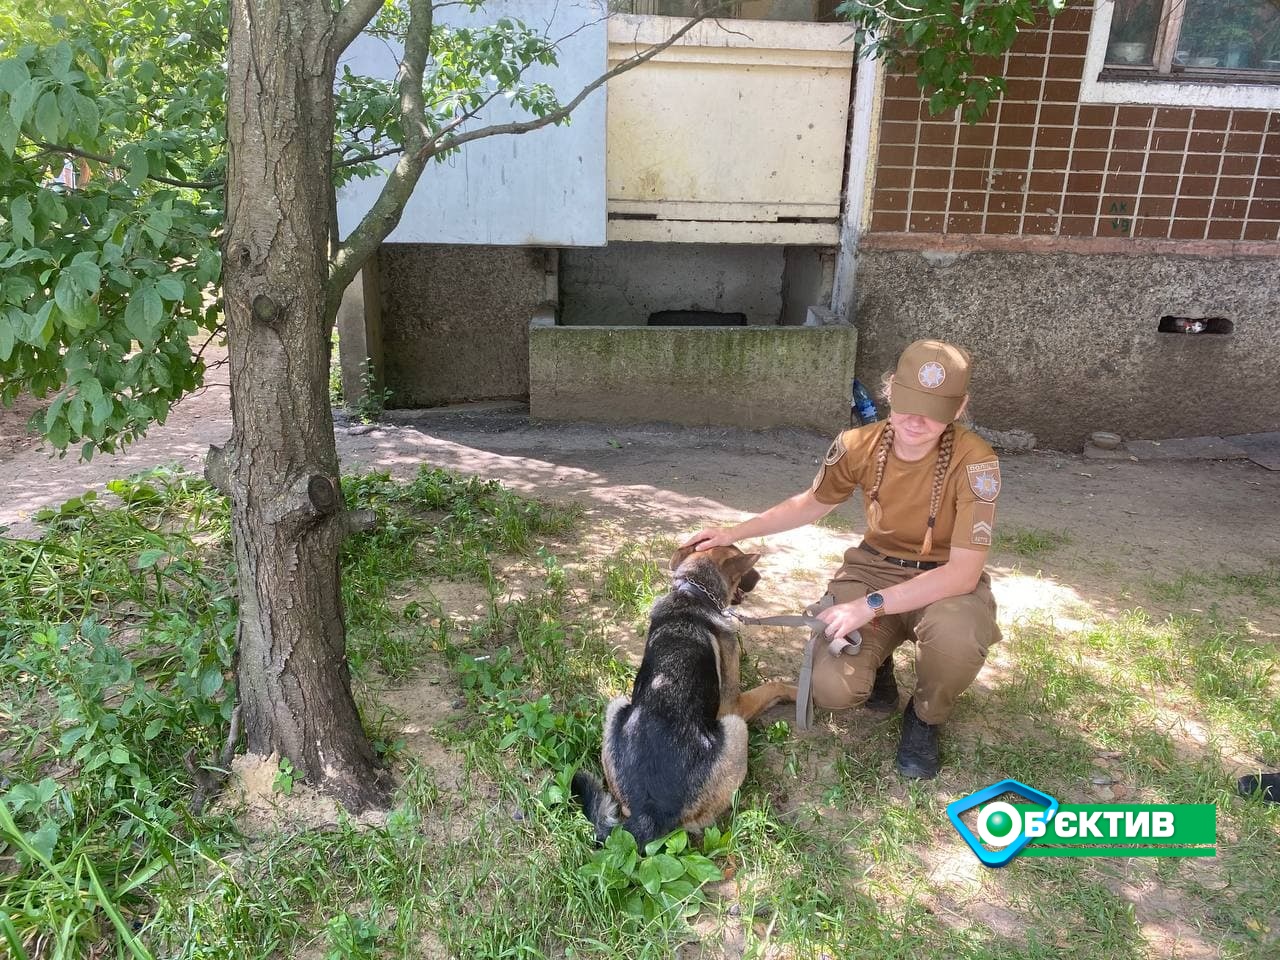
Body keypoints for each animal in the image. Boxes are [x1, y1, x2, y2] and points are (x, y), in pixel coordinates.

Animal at [573, 545, 793, 855]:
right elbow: (774, 685)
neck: (692, 593)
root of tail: (649, 811)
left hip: (615, 707)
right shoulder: (734, 704)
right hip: (736, 727)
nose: (759, 577)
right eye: (745, 570)